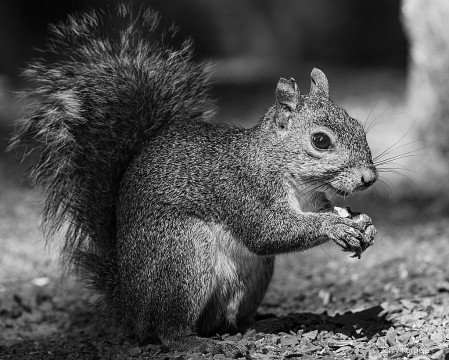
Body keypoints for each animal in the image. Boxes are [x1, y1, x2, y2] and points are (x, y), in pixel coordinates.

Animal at [8, 3, 376, 358]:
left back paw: (272, 322)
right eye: (320, 141)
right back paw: (198, 344)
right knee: (169, 330)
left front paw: (365, 225)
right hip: (183, 255)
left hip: (251, 276)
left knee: (231, 322)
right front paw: (335, 226)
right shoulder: (243, 191)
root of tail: (129, 306)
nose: (369, 178)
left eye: (358, 126)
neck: (292, 178)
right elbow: (268, 232)